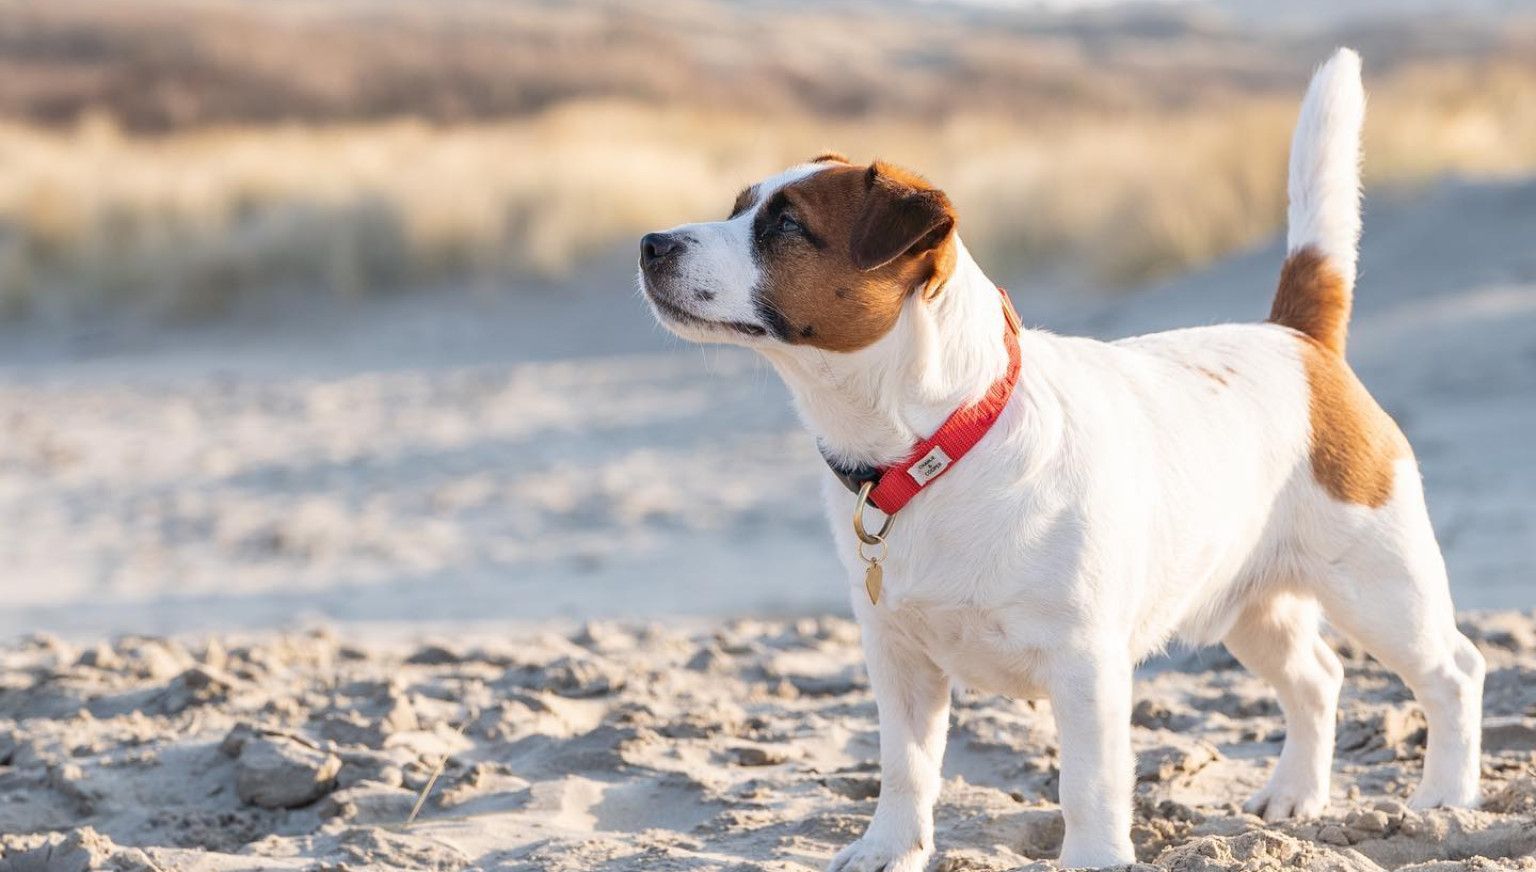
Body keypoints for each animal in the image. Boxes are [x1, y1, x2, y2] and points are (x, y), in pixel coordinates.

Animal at [632, 51, 1474, 865]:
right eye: (739, 207)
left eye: (785, 226)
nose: (648, 243)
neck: (937, 445)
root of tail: (1299, 340)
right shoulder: (898, 658)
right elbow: (906, 769)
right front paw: (889, 850)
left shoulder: (1086, 666)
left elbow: (1089, 786)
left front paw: (1095, 859)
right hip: (1249, 604)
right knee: (1319, 681)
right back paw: (1296, 795)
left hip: (1380, 588)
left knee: (1453, 672)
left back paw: (1445, 800)